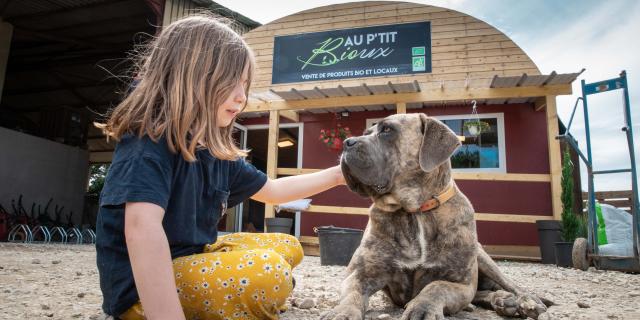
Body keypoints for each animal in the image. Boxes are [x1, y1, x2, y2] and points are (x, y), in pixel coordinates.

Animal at [320, 113, 552, 320]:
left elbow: (436, 286)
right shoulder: (360, 274)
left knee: (512, 287)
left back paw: (525, 301)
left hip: (484, 259)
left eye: (387, 130)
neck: (414, 211)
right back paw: (503, 301)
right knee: (482, 295)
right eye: (366, 132)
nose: (347, 142)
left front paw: (422, 308)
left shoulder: (461, 283)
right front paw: (341, 313)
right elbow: (352, 295)